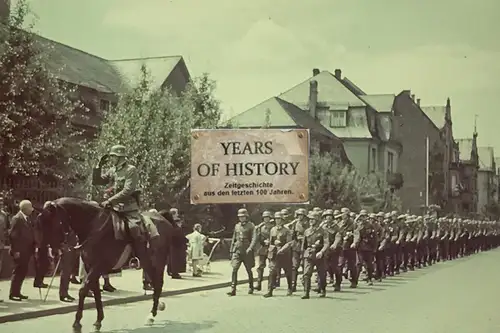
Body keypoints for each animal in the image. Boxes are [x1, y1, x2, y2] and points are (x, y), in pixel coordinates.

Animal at [37, 196, 174, 330]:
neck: (93, 226)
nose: (53, 251)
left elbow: (83, 290)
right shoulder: (90, 267)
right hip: (149, 263)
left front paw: (77, 322)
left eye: (50, 222)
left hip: (158, 262)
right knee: (155, 284)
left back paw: (151, 315)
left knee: (158, 285)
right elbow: (96, 292)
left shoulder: (98, 266)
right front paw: (98, 320)